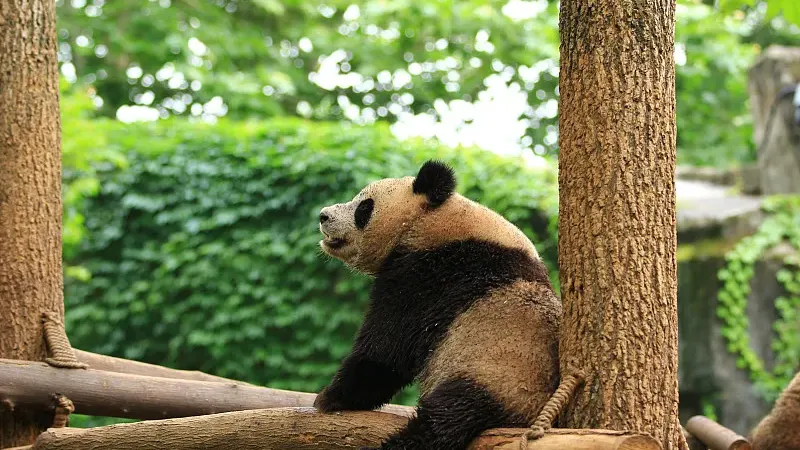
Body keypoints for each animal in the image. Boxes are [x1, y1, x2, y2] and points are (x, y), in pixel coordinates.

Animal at [314, 160, 561, 450]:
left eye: (364, 207)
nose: (323, 215)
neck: (431, 222)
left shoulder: (430, 275)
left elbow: (387, 348)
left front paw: (331, 397)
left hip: (496, 375)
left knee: (446, 418)